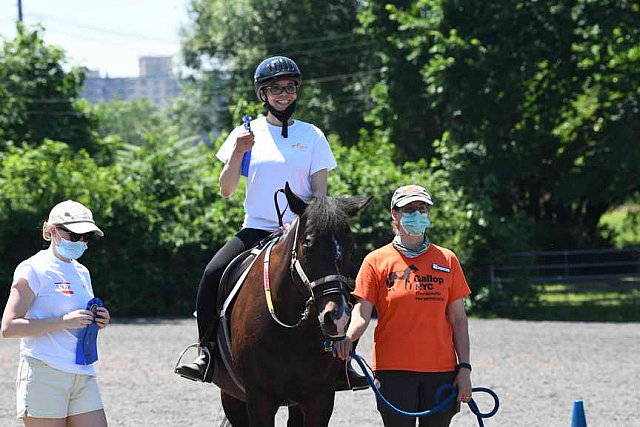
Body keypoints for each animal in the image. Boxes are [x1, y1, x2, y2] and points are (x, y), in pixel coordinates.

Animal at [215, 185, 372, 427]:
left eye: (351, 246)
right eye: (307, 244)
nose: (338, 318)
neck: (290, 328)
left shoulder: (319, 399)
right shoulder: (259, 399)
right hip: (232, 396)